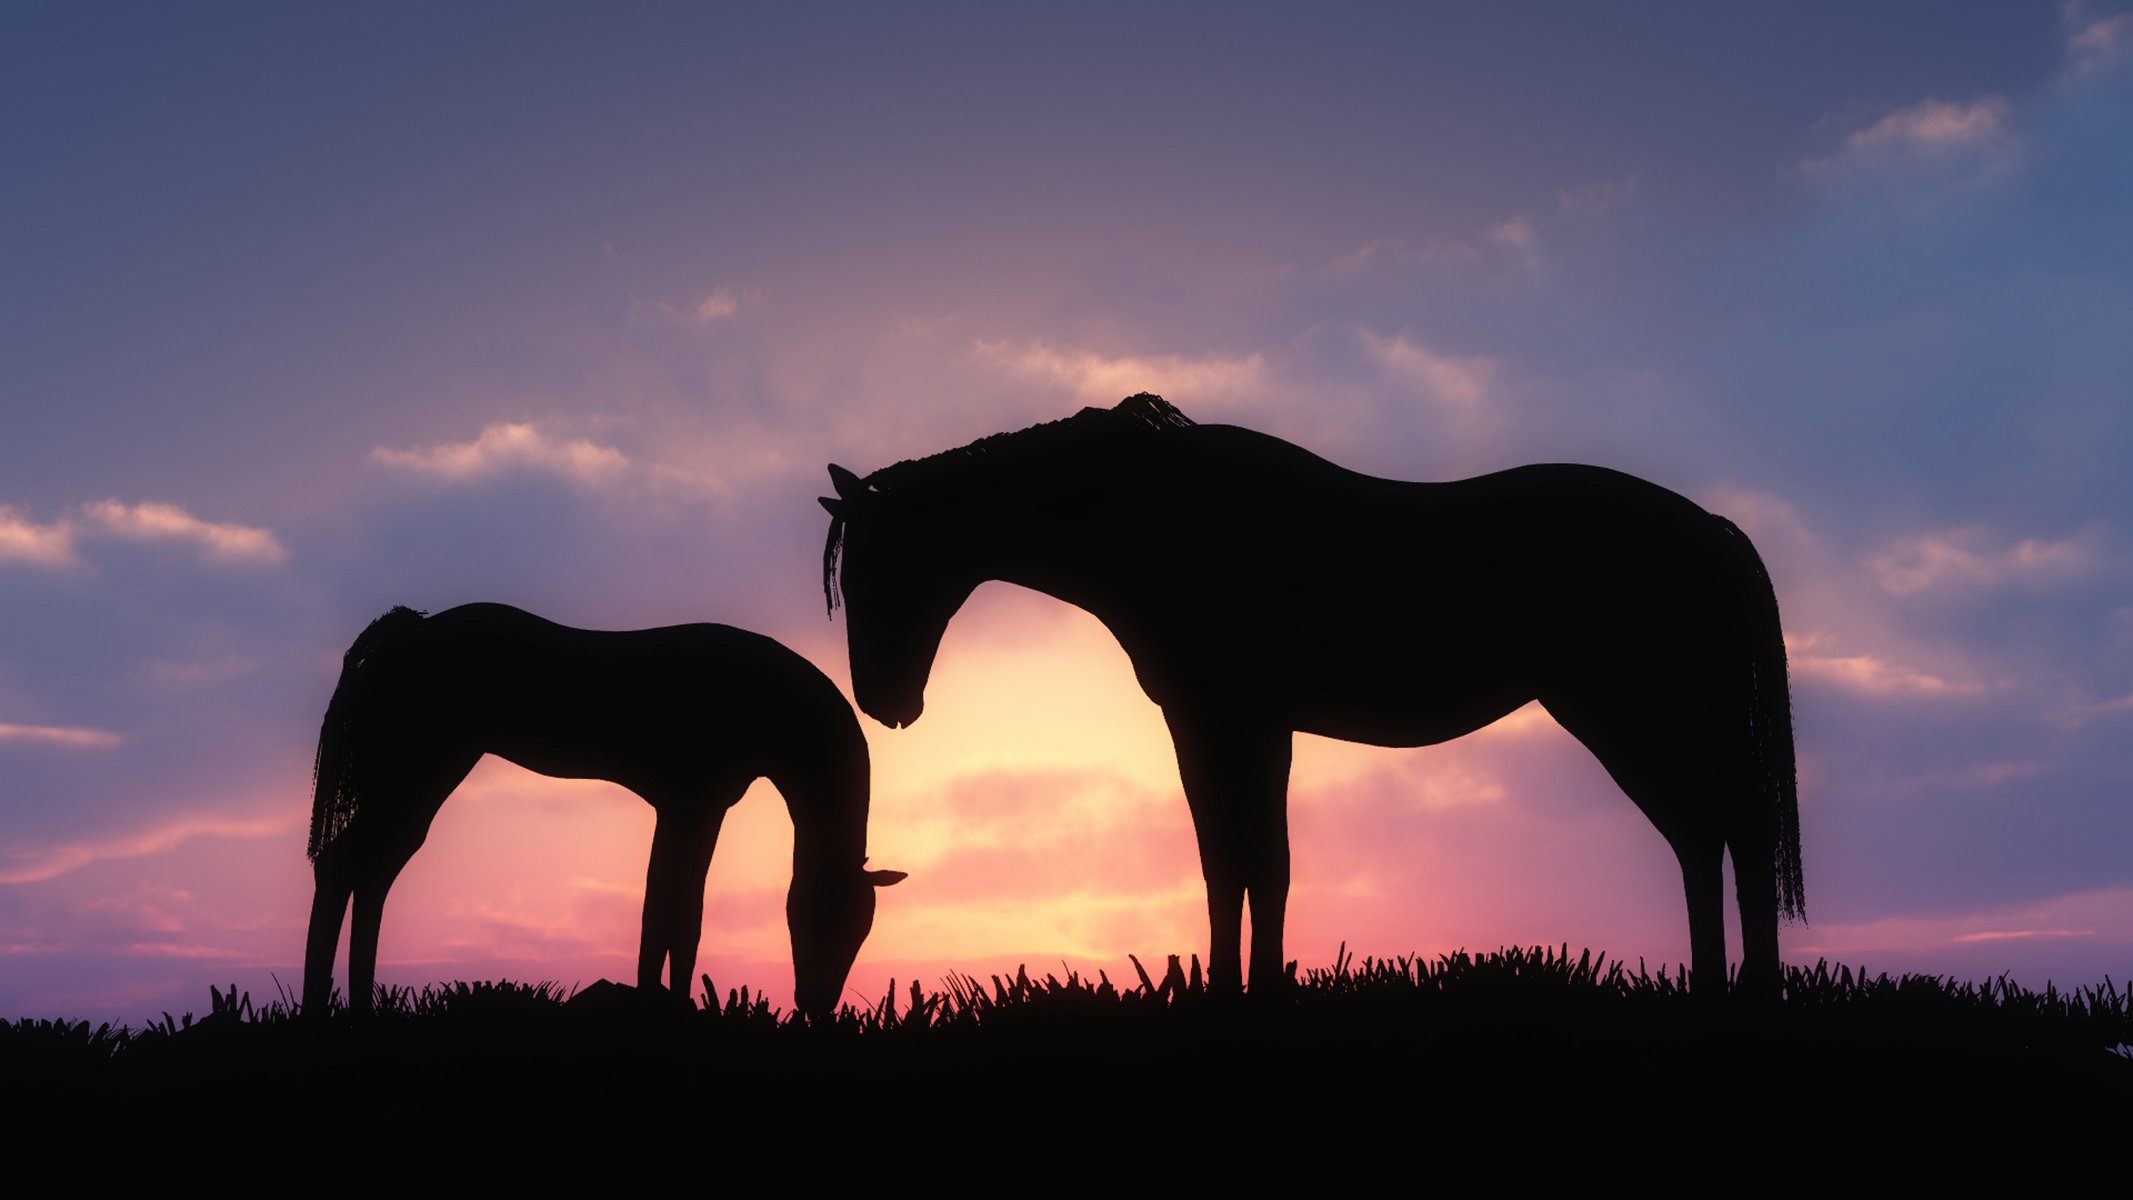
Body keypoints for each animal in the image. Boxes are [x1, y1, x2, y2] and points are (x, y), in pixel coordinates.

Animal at [303, 603, 904, 1019]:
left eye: (862, 930)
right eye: (822, 916)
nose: (817, 1005)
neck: (763, 701)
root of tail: (404, 632)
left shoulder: (688, 808)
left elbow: (671, 912)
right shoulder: (692, 804)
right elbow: (673, 914)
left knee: (373, 874)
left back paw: (360, 1006)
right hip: (416, 774)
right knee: (344, 867)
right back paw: (317, 1009)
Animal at [820, 393, 1800, 996]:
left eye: (876, 566)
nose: (884, 703)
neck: (1158, 523)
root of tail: (1710, 528)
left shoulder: (1224, 719)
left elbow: (1244, 860)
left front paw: (1237, 991)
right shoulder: (1242, 726)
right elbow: (1248, 861)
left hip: (1639, 711)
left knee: (1728, 832)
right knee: (1702, 836)